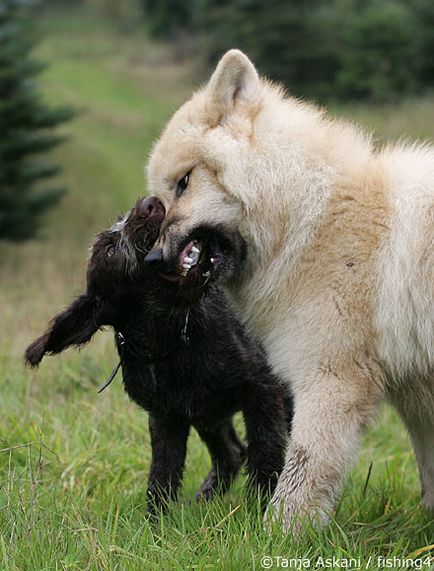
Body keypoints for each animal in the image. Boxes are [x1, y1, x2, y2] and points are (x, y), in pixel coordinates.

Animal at [24, 197, 292, 512]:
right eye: (110, 250)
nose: (149, 203)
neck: (171, 338)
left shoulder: (261, 388)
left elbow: (266, 449)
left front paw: (260, 505)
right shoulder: (166, 416)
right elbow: (162, 475)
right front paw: (158, 520)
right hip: (207, 415)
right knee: (231, 452)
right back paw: (204, 499)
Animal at [145, 48, 434, 532]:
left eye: (184, 182)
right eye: (160, 201)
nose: (152, 262)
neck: (310, 218)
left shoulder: (330, 380)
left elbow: (300, 473)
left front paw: (277, 537)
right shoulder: (416, 394)